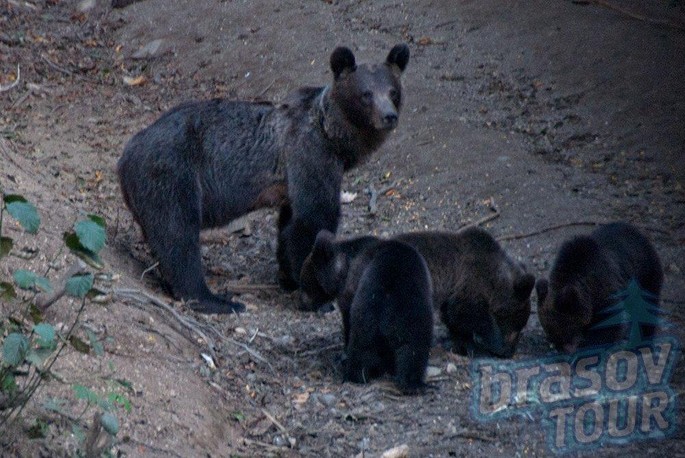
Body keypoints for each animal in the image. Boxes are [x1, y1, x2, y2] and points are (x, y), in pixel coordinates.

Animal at [115, 43, 408, 314]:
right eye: (366, 94)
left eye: (393, 91)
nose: (389, 116)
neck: (334, 136)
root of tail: (125, 155)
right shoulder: (310, 156)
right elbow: (313, 219)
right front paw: (316, 295)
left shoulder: (293, 183)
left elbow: (289, 225)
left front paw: (288, 276)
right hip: (172, 175)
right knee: (178, 236)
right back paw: (217, 299)